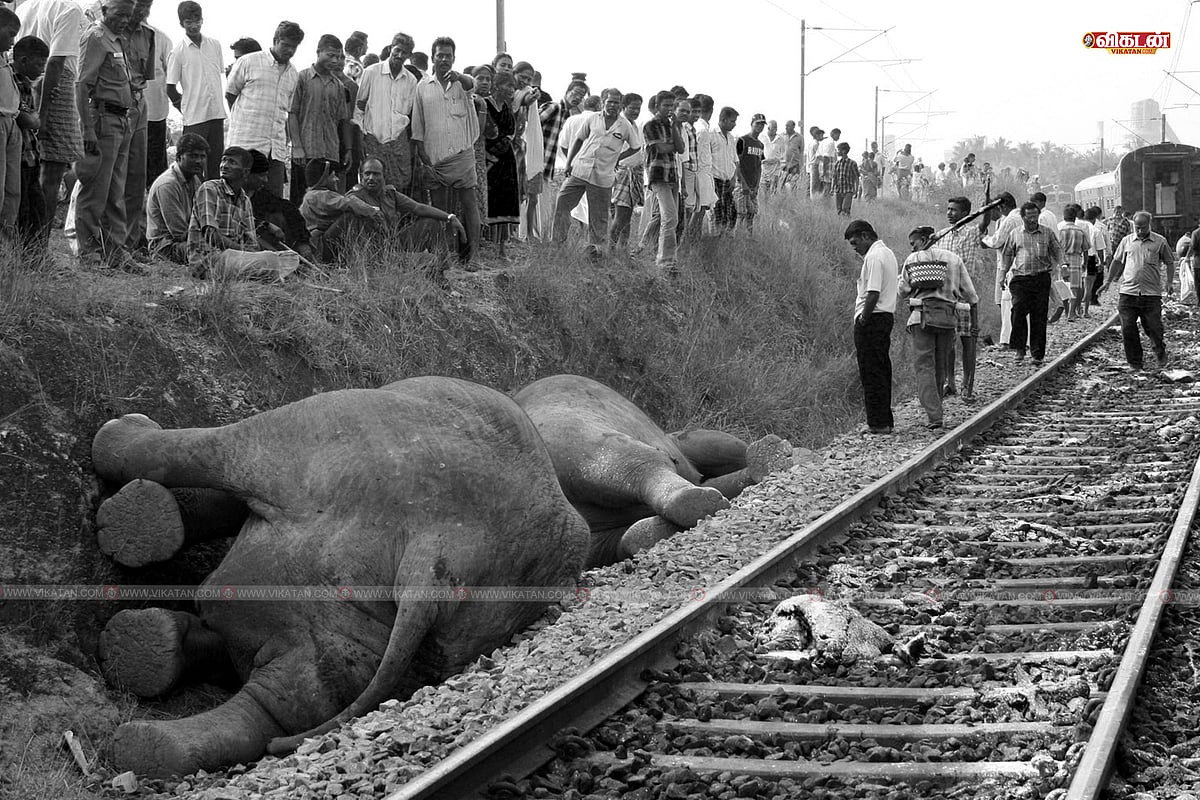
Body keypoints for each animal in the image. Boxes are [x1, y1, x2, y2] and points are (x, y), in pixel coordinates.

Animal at [89, 377, 590, 778]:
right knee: (301, 688)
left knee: (224, 449)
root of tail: (441, 548)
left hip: (322, 437)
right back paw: (147, 669)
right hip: (420, 624)